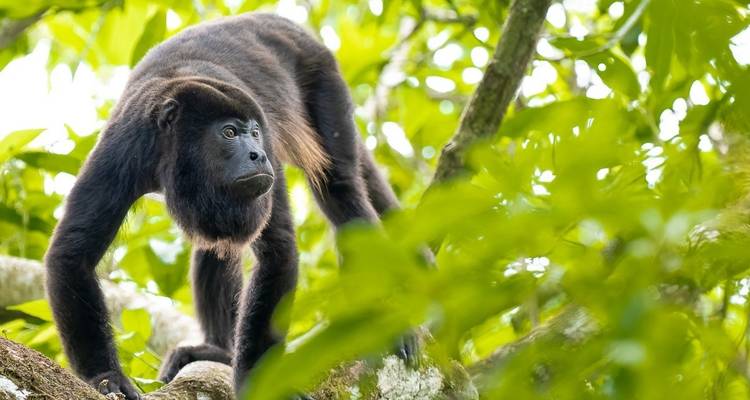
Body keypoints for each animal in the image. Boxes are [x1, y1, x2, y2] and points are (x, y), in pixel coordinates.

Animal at [44, 12, 417, 399]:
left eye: (254, 132)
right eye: (229, 133)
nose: (258, 154)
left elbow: (278, 250)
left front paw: (258, 380)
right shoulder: (122, 147)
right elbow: (73, 252)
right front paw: (105, 376)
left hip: (323, 75)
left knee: (340, 185)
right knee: (215, 245)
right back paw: (218, 351)